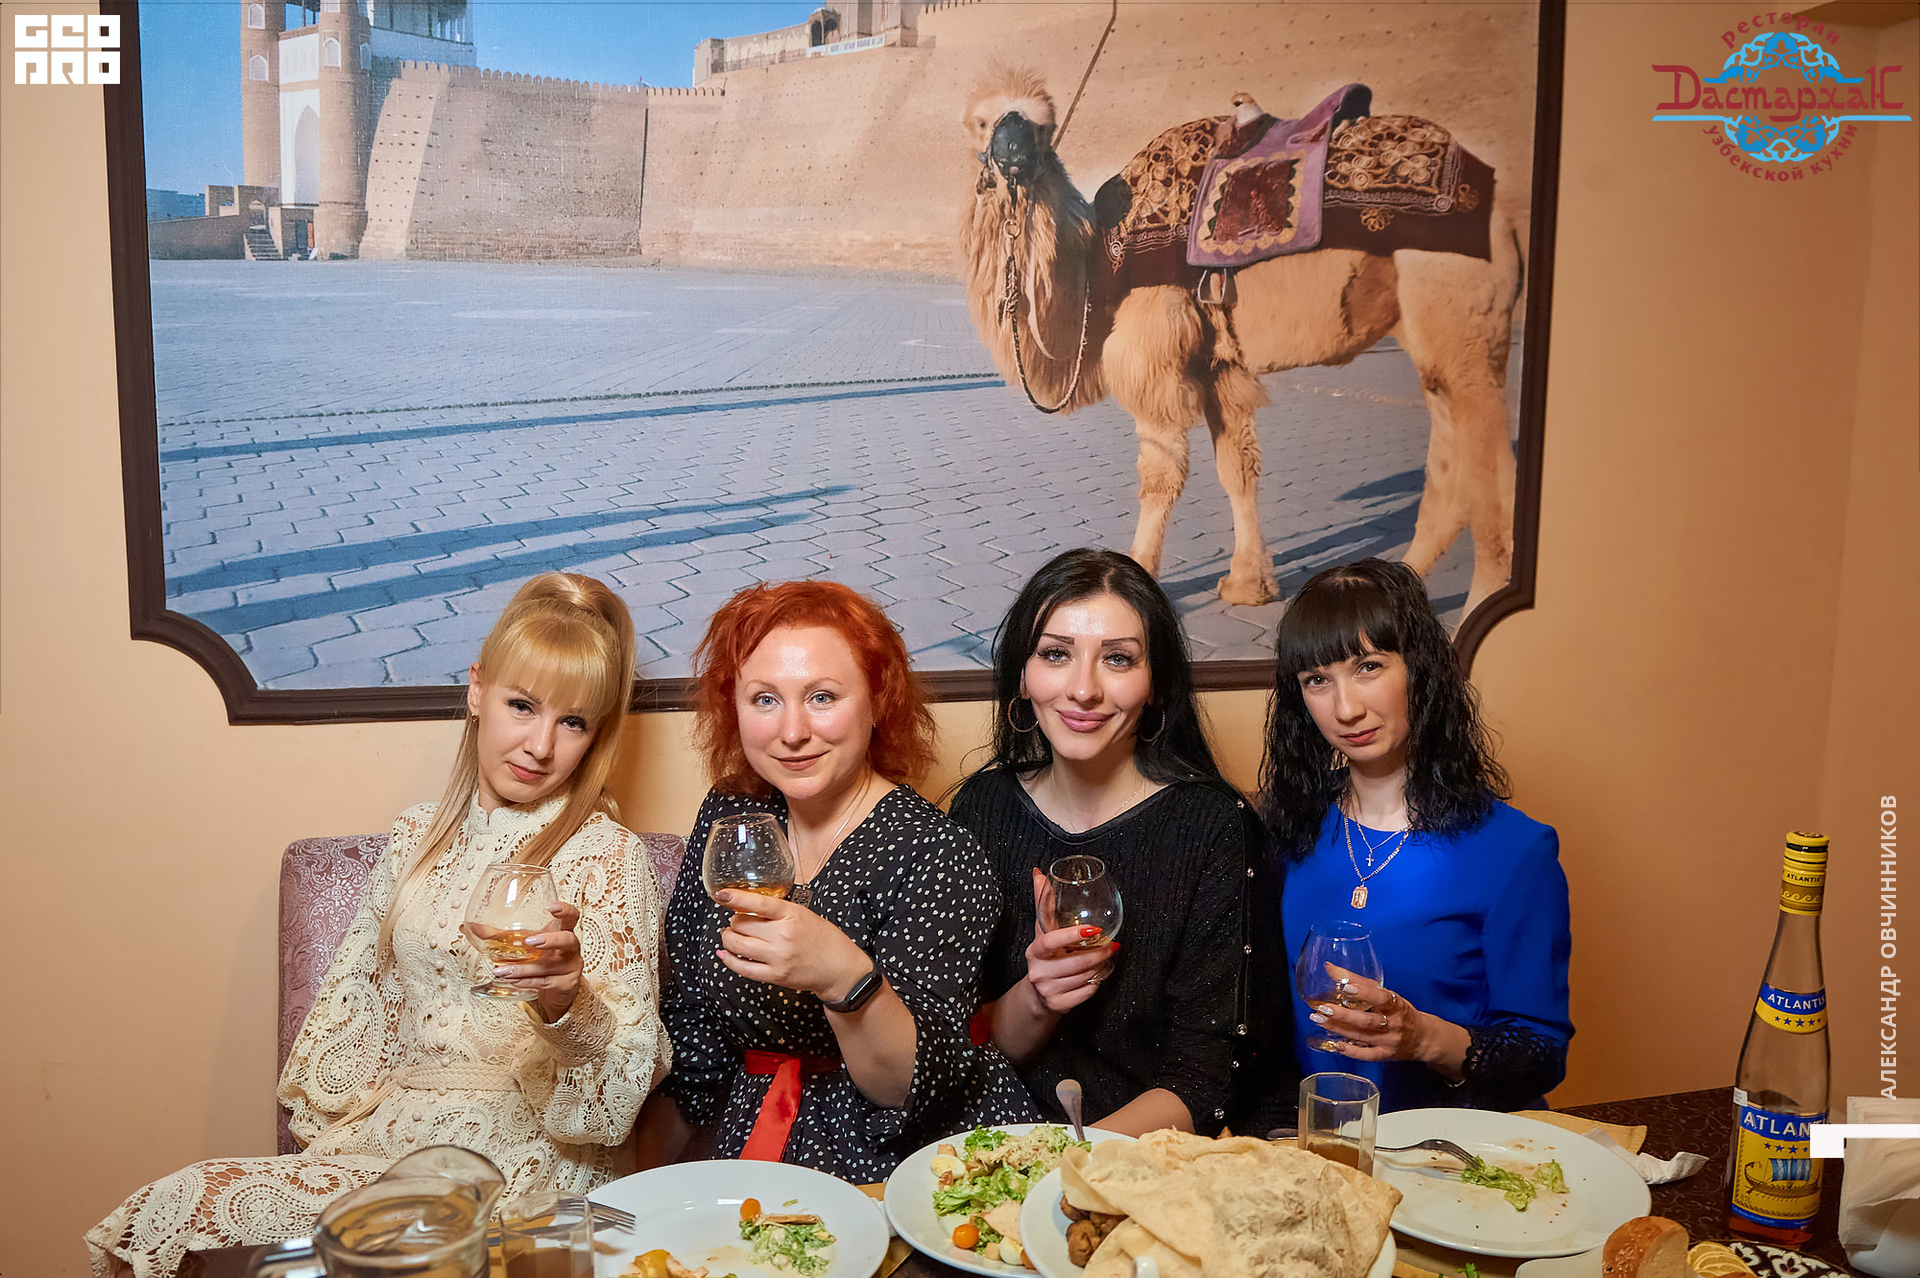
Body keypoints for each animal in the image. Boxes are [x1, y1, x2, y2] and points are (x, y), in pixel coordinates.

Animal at [957, 68, 1525, 611]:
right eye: (983, 123)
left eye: (1043, 126)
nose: (1013, 152)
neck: (1098, 272)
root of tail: (1499, 203)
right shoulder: (1219, 363)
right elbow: (1238, 467)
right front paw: (1249, 585)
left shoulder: (1156, 352)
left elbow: (1160, 475)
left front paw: (1138, 573)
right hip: (1435, 337)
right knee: (1449, 469)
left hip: (1460, 318)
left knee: (1493, 477)